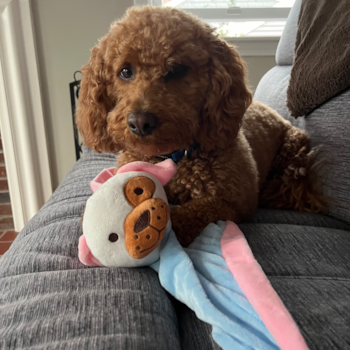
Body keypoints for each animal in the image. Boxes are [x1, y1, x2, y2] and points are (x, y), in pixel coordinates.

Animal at [75, 5, 326, 246]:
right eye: (125, 71)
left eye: (176, 69)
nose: (140, 122)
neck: (171, 157)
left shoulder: (235, 202)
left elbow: (195, 211)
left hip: (294, 152)